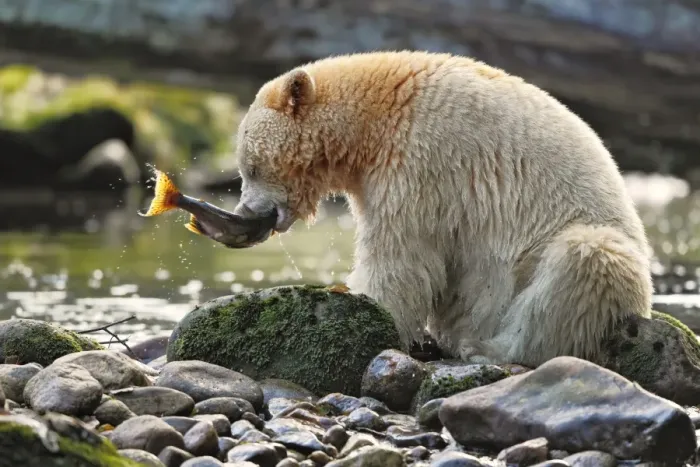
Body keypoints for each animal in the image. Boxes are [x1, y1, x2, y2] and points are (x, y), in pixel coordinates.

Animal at [231, 50, 653, 368]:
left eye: (251, 166)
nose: (247, 212)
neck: (377, 113)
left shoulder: (420, 158)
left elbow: (402, 255)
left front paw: (366, 306)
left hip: (574, 247)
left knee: (586, 261)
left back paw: (485, 347)